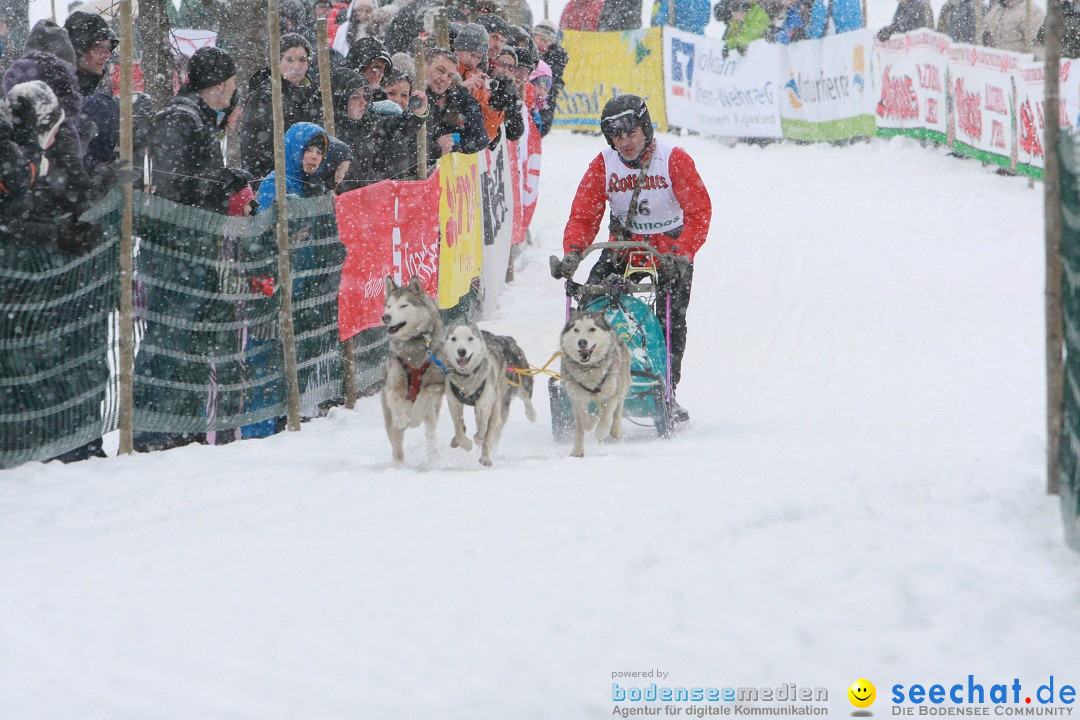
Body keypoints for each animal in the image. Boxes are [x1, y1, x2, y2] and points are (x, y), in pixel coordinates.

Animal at [382, 276, 444, 462]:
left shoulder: (438, 383)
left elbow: (425, 394)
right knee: (397, 449)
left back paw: (434, 458)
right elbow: (393, 396)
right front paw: (401, 418)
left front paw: (416, 416)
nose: (386, 317)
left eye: (403, 306)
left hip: (433, 412)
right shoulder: (393, 383)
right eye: (389, 305)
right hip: (389, 421)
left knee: (430, 432)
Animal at [442, 321, 535, 468]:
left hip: (517, 385)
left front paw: (478, 441)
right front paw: (464, 443)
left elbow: (483, 431)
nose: (461, 351)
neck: (467, 379)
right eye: (454, 339)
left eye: (470, 338)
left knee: (525, 399)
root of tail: (507, 339)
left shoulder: (486, 404)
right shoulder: (454, 403)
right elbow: (459, 430)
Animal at [557, 313, 630, 459]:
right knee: (579, 426)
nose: (582, 342)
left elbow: (607, 414)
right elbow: (585, 420)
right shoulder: (577, 395)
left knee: (619, 407)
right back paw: (577, 450)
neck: (589, 370)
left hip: (622, 380)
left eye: (592, 329)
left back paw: (615, 429)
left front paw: (601, 431)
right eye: (576, 329)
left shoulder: (612, 391)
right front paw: (593, 419)